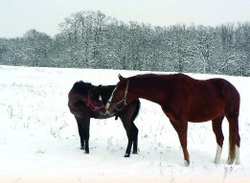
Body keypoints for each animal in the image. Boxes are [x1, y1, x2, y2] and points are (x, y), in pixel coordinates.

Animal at [105, 73, 240, 166]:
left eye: (117, 91)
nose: (107, 108)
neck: (169, 90)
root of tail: (233, 88)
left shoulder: (183, 119)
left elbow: (184, 140)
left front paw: (187, 163)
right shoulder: (173, 120)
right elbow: (181, 140)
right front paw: (187, 161)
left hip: (232, 117)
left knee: (236, 138)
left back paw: (237, 164)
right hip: (217, 118)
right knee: (220, 138)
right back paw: (216, 162)